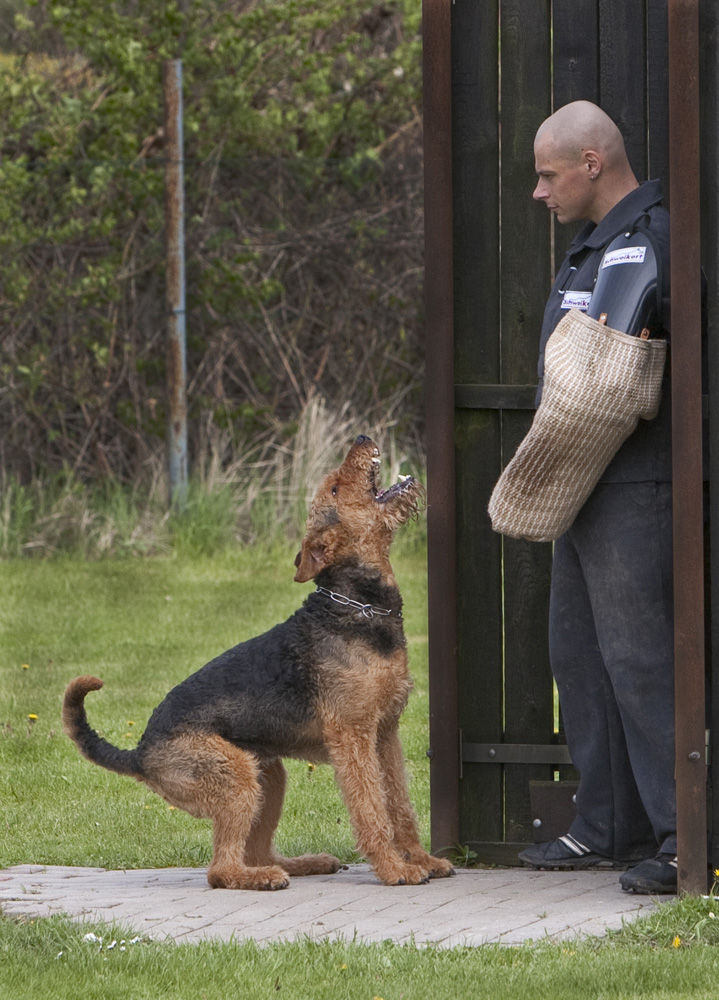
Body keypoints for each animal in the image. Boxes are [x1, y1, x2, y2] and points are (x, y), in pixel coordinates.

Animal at [63, 438, 456, 892]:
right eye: (336, 488)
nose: (361, 440)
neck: (357, 606)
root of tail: (139, 753)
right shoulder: (354, 736)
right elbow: (372, 809)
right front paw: (396, 869)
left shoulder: (386, 731)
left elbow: (400, 805)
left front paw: (423, 859)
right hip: (237, 780)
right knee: (221, 869)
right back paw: (264, 878)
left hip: (268, 776)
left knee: (256, 850)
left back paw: (304, 864)